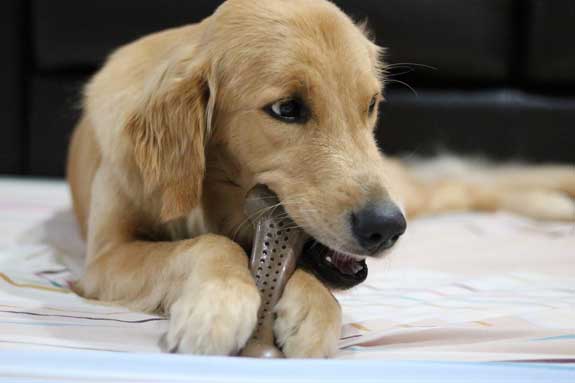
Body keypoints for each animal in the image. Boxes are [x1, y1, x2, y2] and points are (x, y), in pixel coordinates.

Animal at [66, 0, 572, 360]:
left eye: (370, 104)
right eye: (287, 109)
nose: (386, 227)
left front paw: (315, 311)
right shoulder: (105, 258)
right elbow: (209, 244)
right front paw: (219, 304)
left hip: (406, 190)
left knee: (470, 185)